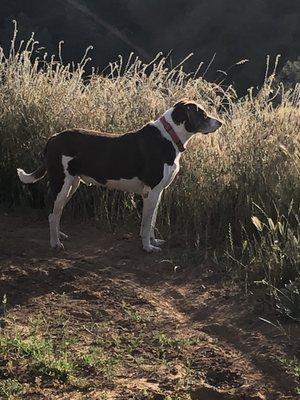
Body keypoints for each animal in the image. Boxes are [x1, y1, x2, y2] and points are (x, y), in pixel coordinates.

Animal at [17, 98, 223, 252]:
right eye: (203, 114)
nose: (221, 123)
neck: (169, 137)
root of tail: (53, 138)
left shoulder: (158, 192)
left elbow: (152, 221)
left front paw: (154, 241)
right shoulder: (151, 192)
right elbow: (146, 224)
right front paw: (148, 247)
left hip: (72, 185)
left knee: (56, 211)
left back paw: (59, 235)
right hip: (61, 184)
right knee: (52, 213)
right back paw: (55, 243)